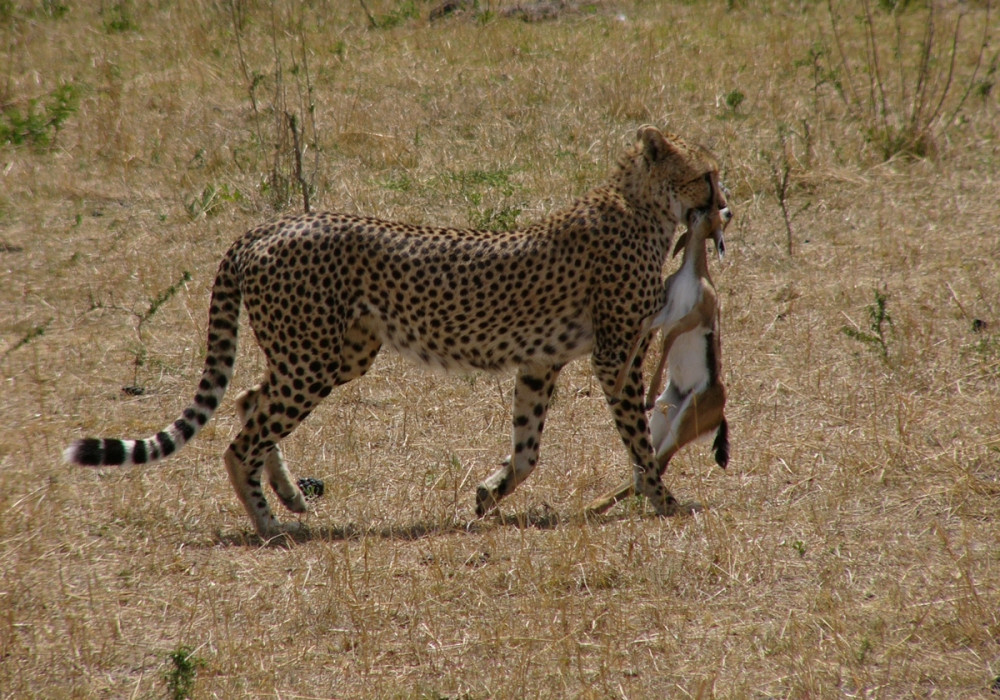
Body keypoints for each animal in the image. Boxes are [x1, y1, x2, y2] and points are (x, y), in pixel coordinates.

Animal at [66, 124, 732, 536]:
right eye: (707, 175)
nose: (725, 209)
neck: (642, 206)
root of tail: (268, 226)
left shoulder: (539, 363)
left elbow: (528, 448)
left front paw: (489, 492)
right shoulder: (616, 357)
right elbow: (638, 441)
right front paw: (664, 501)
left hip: (335, 354)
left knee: (249, 400)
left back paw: (289, 495)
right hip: (314, 359)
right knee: (241, 438)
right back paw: (269, 523)